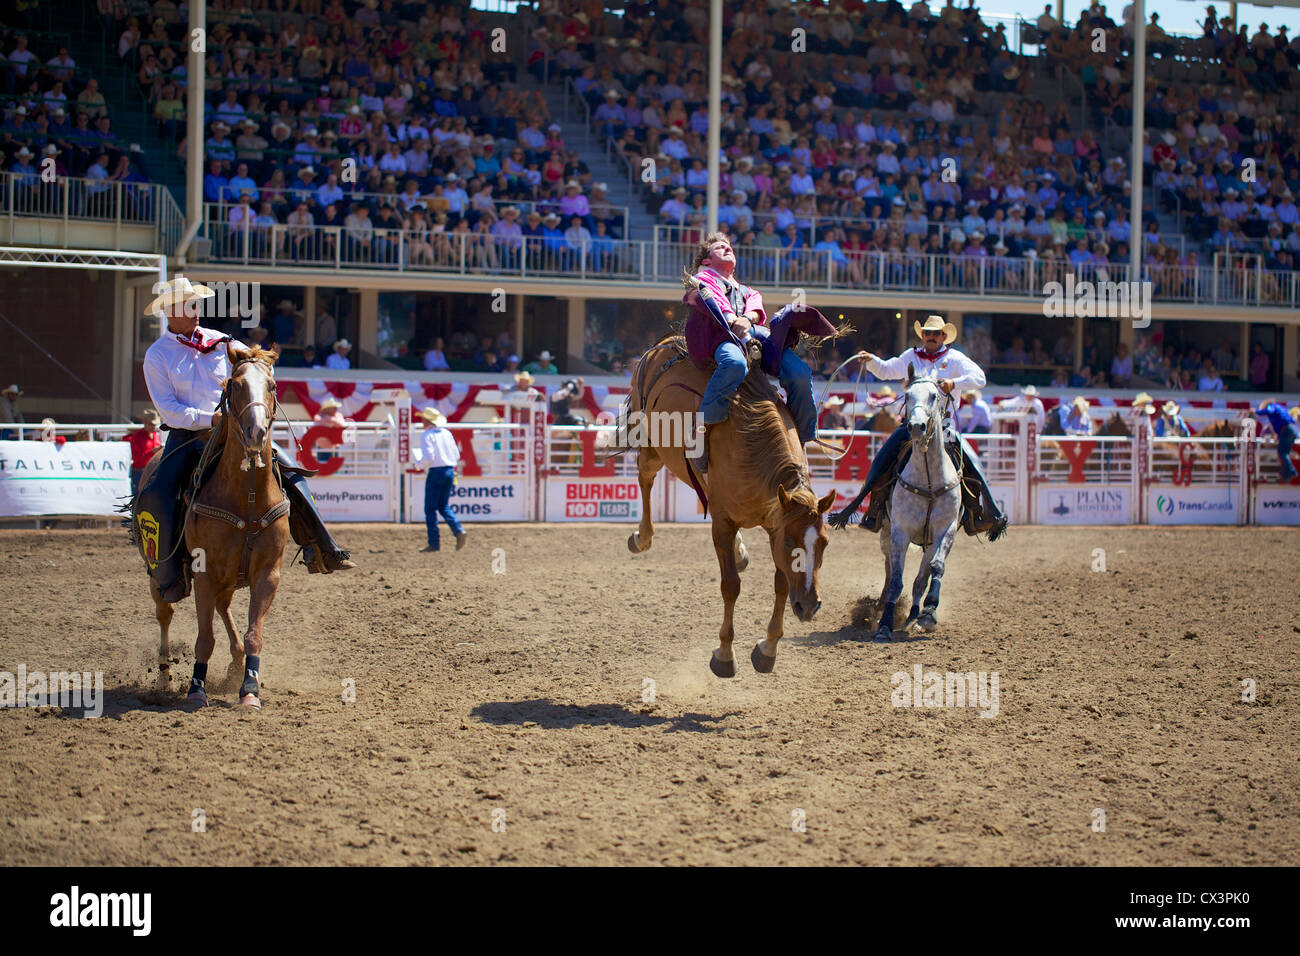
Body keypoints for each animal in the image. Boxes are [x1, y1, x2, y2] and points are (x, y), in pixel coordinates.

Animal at [621, 335, 832, 681]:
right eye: (792, 542)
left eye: (825, 543)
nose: (810, 606)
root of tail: (667, 344)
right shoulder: (722, 523)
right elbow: (731, 586)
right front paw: (724, 654)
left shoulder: (775, 522)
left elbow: (781, 584)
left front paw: (767, 649)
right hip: (650, 444)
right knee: (645, 477)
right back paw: (642, 537)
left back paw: (740, 552)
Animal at [873, 369, 967, 647]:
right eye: (907, 395)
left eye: (934, 395)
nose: (916, 427)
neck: (928, 478)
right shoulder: (900, 533)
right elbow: (896, 580)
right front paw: (884, 626)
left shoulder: (945, 530)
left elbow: (935, 569)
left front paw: (928, 612)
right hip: (886, 535)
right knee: (889, 571)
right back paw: (882, 606)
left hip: (928, 542)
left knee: (920, 579)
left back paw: (914, 613)